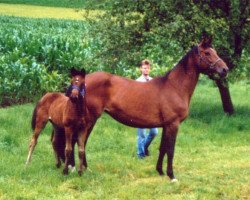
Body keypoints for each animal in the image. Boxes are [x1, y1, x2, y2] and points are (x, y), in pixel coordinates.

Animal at [53, 36, 229, 181]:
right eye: (207, 53)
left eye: (214, 51)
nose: (225, 69)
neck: (174, 87)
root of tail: (79, 83)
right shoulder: (173, 124)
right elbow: (170, 150)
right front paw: (172, 176)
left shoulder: (166, 125)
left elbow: (162, 148)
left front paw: (160, 171)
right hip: (89, 120)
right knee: (77, 142)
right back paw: (74, 168)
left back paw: (83, 168)